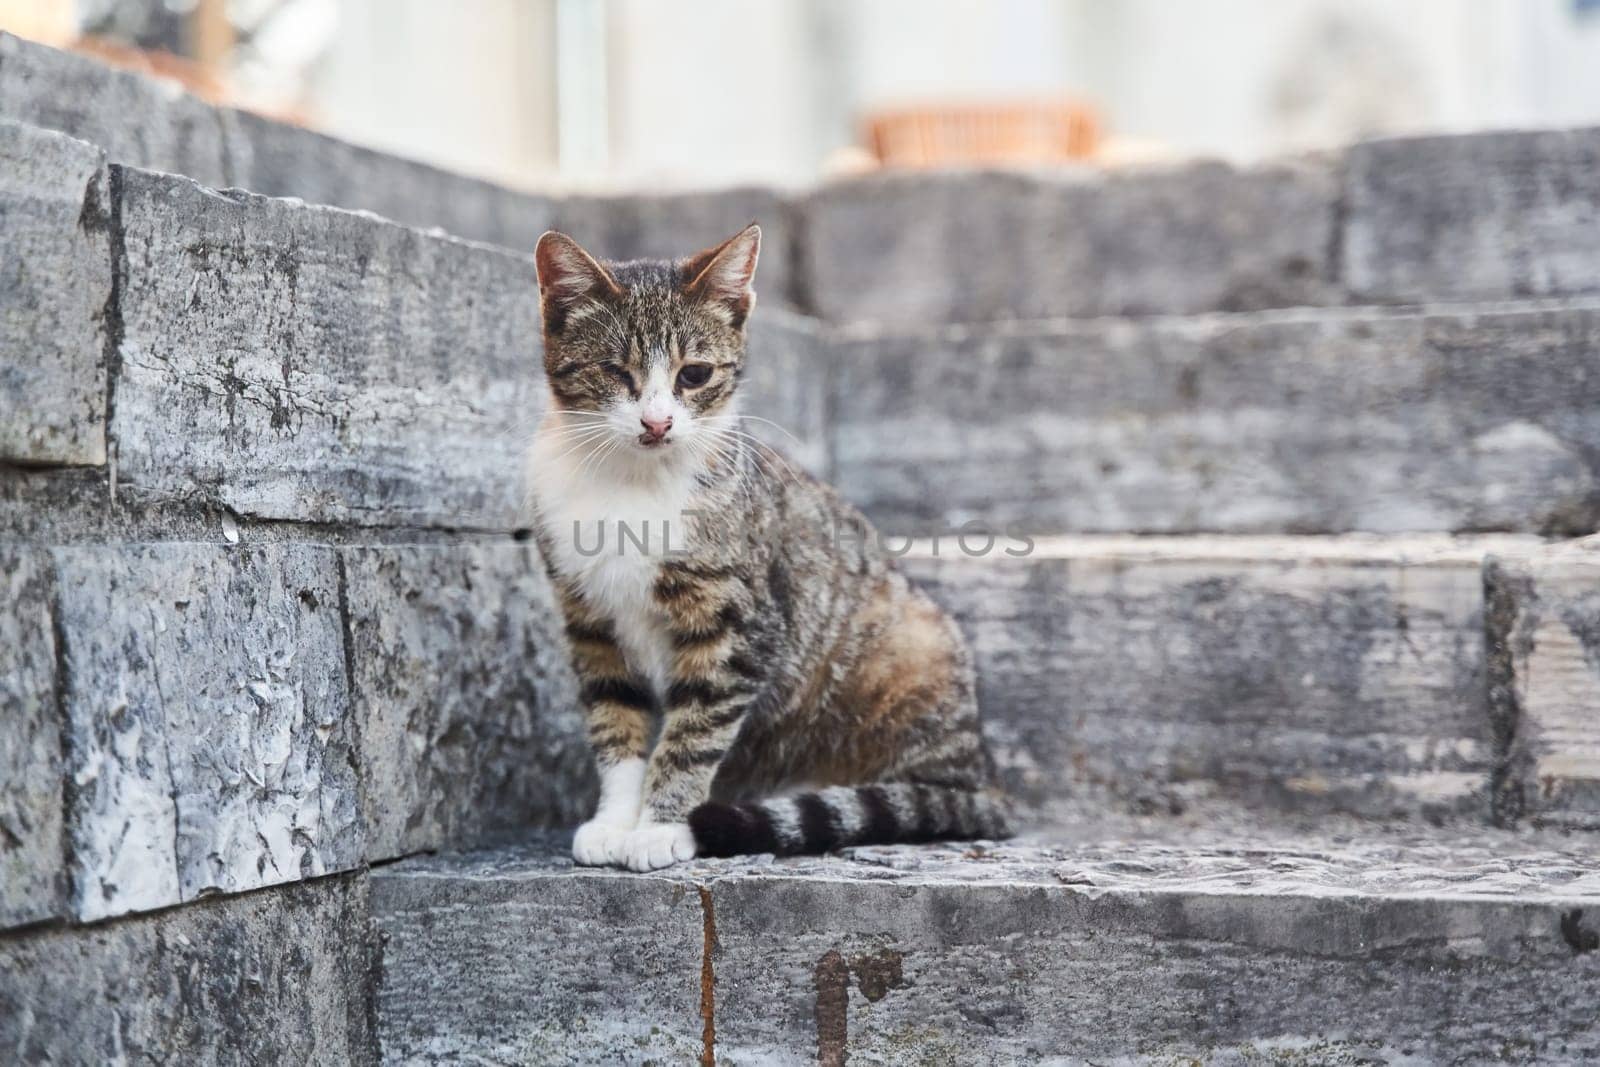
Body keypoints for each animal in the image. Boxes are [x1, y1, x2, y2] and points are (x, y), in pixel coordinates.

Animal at [524, 230, 1004, 870]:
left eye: (694, 374)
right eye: (614, 371)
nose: (656, 423)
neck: (632, 483)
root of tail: (985, 774)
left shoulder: (739, 625)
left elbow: (694, 731)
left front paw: (661, 826)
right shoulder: (590, 621)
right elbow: (614, 718)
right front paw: (615, 821)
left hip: (910, 654)